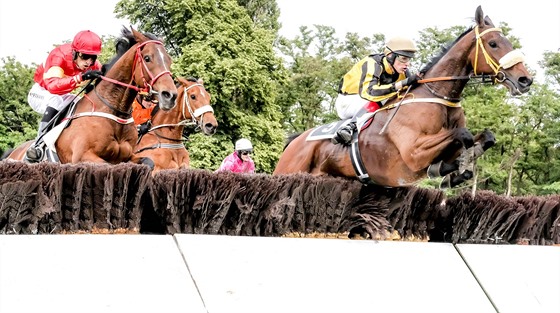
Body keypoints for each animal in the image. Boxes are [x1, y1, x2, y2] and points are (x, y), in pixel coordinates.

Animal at [4, 27, 177, 163]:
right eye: (147, 58)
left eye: (169, 60)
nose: (170, 95)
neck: (113, 111)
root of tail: (13, 152)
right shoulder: (83, 157)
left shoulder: (129, 156)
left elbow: (148, 162)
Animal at [274, 6, 532, 186]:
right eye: (493, 43)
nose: (525, 80)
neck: (437, 95)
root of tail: (295, 141)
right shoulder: (414, 153)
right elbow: (463, 134)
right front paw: (458, 169)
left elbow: (485, 137)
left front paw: (458, 168)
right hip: (287, 170)